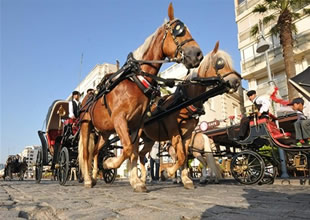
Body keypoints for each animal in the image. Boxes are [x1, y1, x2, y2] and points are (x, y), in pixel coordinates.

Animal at [78, 3, 202, 192]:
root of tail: (88, 97)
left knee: (96, 151)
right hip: (86, 126)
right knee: (86, 153)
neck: (136, 80)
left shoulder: (136, 125)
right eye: (179, 30)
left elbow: (134, 152)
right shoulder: (120, 120)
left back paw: (93, 177)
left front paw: (136, 181)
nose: (198, 54)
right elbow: (128, 148)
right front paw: (110, 163)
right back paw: (87, 178)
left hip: (105, 132)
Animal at [139, 41, 241, 189]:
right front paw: (174, 175)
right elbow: (181, 158)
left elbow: (184, 158)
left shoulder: (185, 137)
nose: (236, 81)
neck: (184, 101)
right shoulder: (174, 133)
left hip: (150, 139)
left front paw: (183, 178)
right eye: (220, 63)